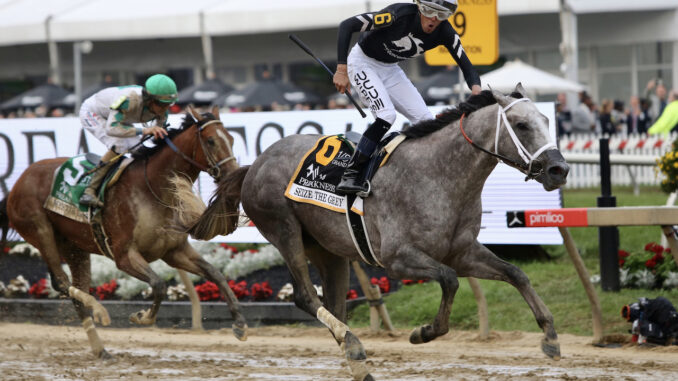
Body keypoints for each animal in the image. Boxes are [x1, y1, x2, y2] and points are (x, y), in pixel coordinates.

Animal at [0, 105, 250, 358]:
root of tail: (17, 184)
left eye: (231, 139)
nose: (233, 174)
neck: (153, 190)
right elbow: (159, 285)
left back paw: (100, 348)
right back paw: (100, 311)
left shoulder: (175, 250)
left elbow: (215, 274)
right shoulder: (124, 256)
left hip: (74, 248)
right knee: (61, 282)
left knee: (76, 290)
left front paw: (240, 324)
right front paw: (142, 316)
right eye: (210, 140)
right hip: (40, 231)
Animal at [189, 84, 572, 380]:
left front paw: (551, 337)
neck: (438, 174)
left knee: (333, 304)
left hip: (327, 250)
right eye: (521, 125)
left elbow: (516, 273)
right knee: (306, 296)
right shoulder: (399, 259)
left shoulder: (462, 251)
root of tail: (256, 163)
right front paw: (423, 333)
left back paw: (355, 357)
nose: (559, 169)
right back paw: (356, 348)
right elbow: (449, 281)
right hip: (284, 230)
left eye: (546, 120)